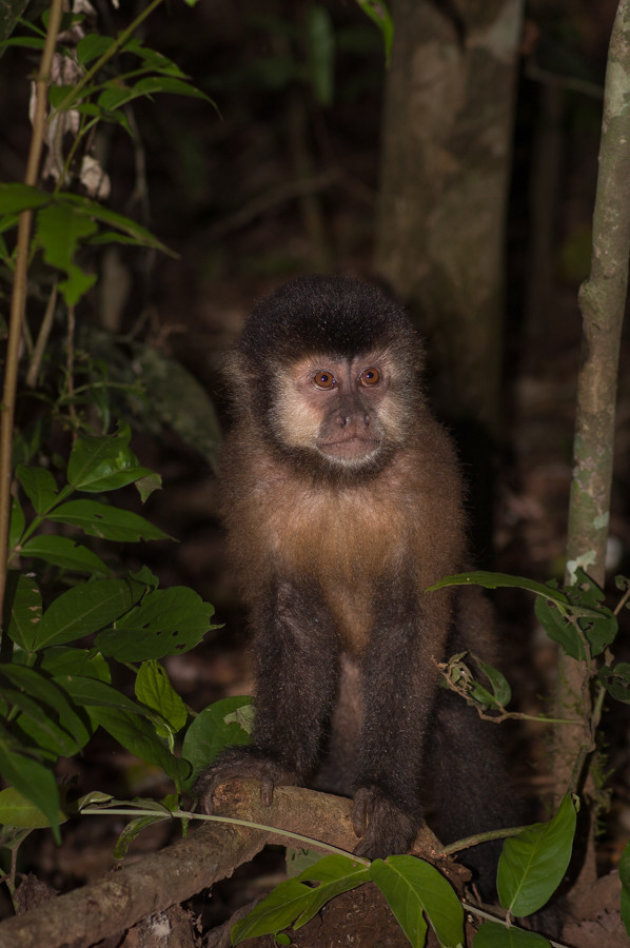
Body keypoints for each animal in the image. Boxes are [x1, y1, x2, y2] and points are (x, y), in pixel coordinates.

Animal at [196, 276, 512, 896]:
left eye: (369, 377)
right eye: (324, 381)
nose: (354, 418)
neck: (337, 480)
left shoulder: (430, 468)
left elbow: (410, 626)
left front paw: (388, 796)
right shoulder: (248, 473)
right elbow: (291, 615)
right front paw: (274, 760)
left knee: (459, 724)